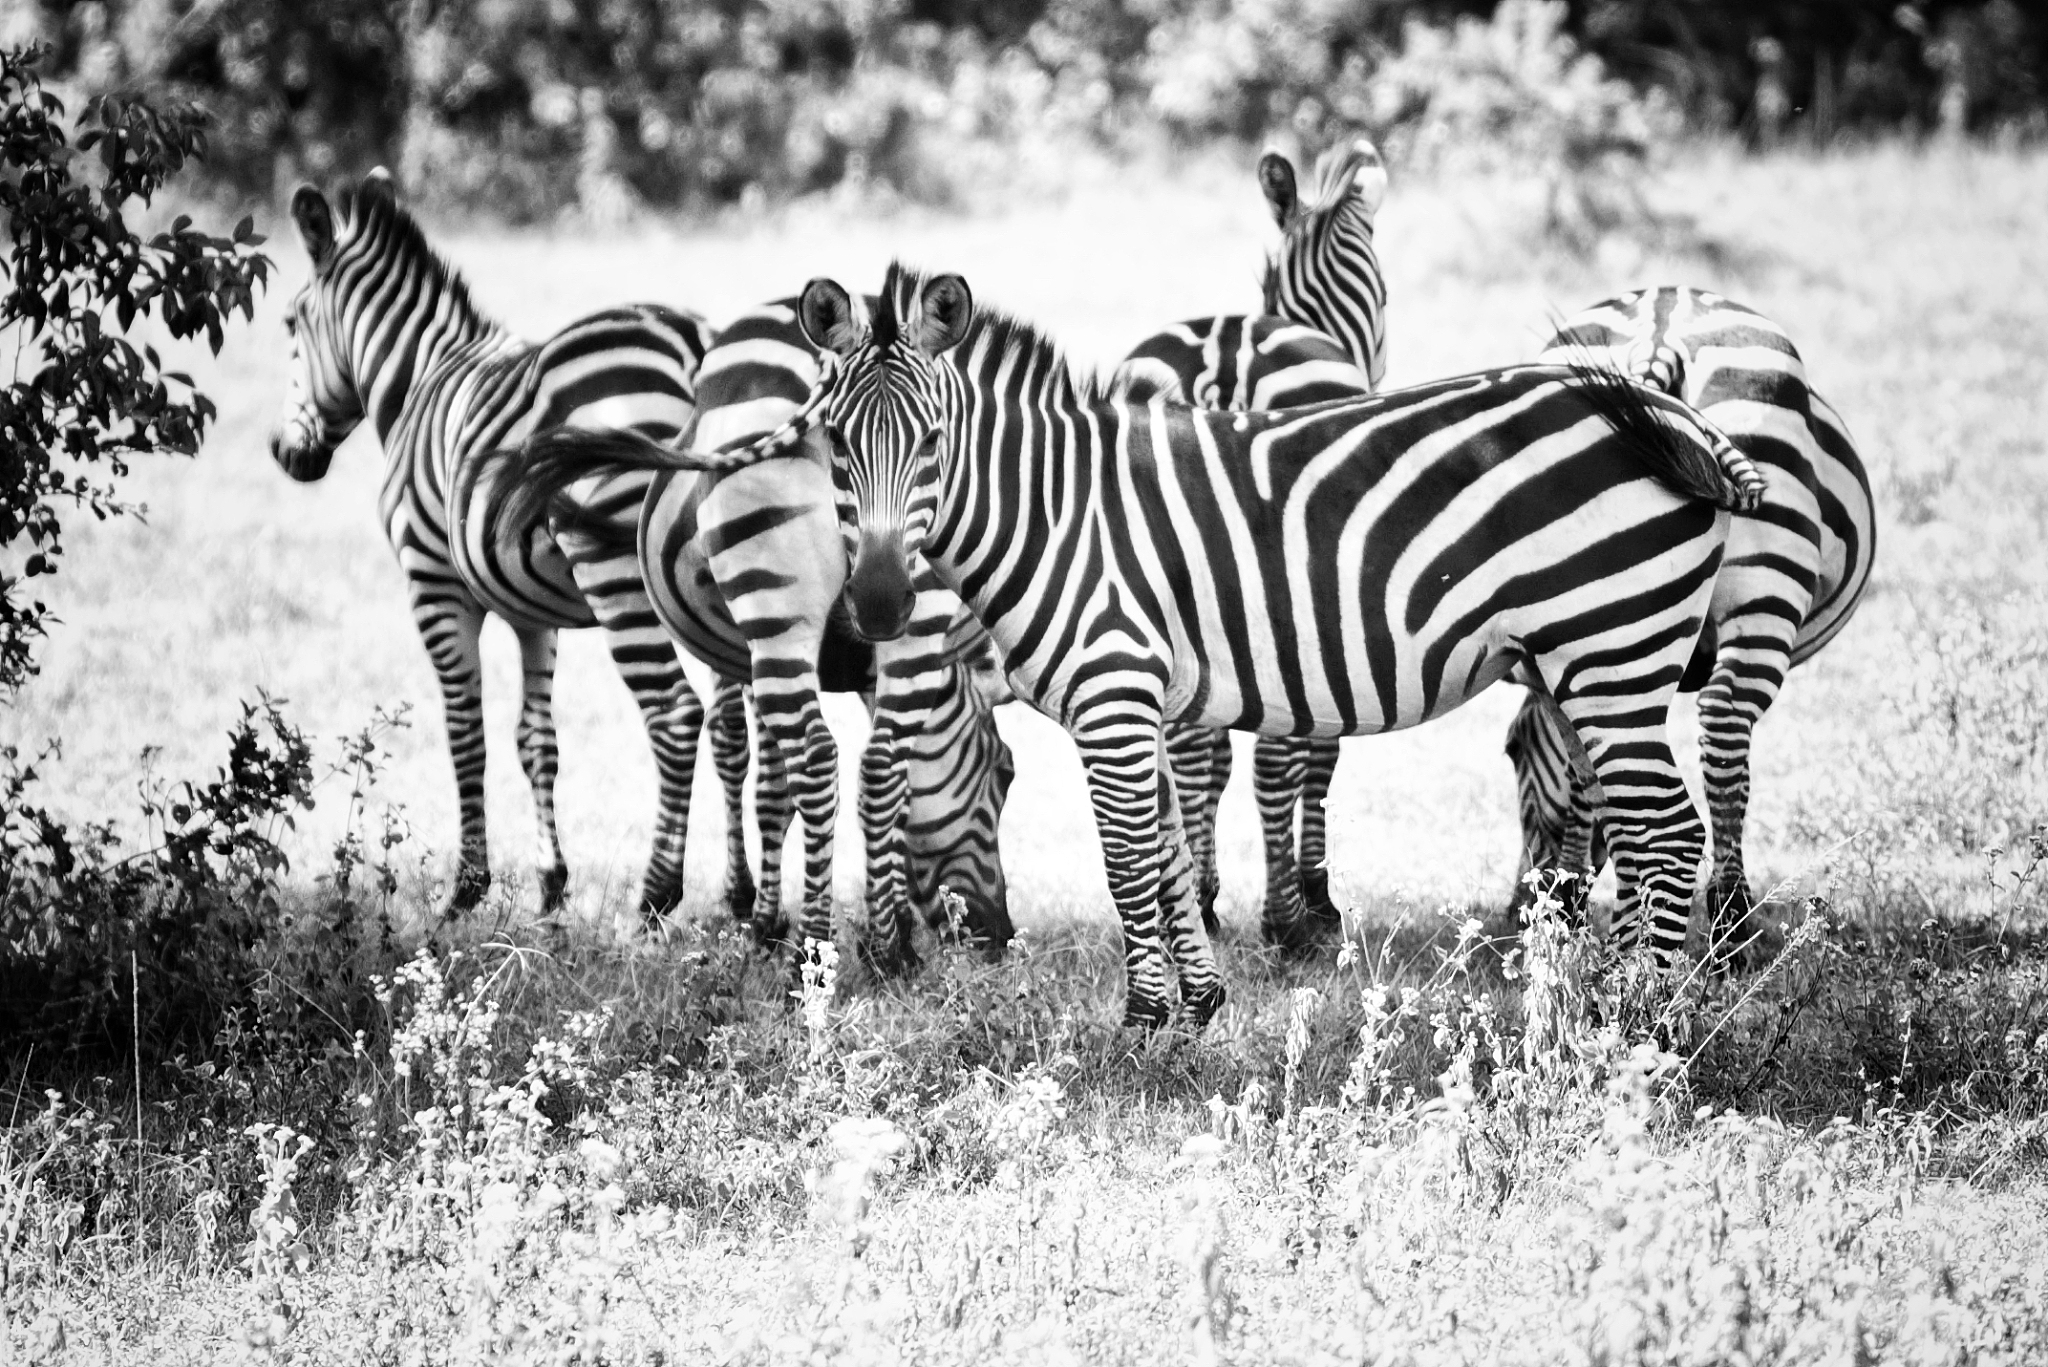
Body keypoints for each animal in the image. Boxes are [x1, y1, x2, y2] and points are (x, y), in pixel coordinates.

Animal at [268, 168, 721, 922]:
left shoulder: (435, 585)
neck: (417, 382)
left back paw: (654, 900)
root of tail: (691, 344)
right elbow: (536, 741)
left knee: (678, 713)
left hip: (618, 568)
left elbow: (465, 735)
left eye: (290, 324)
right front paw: (550, 888)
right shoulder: (531, 610)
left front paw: (466, 890)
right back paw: (751, 906)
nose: (284, 454)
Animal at [492, 296, 1017, 969]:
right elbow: (787, 787)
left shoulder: (750, 653)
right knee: (879, 761)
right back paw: (880, 949)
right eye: (1004, 774)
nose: (999, 936)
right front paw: (855, 923)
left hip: (762, 613)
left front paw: (765, 922)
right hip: (906, 596)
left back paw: (800, 942)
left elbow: (760, 775)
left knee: (805, 755)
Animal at [545, 262, 1765, 1027]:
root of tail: (1654, 403)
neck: (1053, 511)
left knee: (1667, 829)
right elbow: (1171, 847)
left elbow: (1130, 854)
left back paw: (1649, 1019)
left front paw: (1144, 1021)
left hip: (1608, 650)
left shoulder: (1112, 688)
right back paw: (1625, 1002)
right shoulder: (1156, 699)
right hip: (1596, 658)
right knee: (1652, 828)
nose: (880, 608)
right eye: (834, 447)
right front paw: (1200, 1002)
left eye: (934, 440)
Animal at [1114, 139, 1387, 948]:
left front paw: (1205, 889)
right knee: (1277, 752)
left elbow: (1213, 751)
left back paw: (1198, 903)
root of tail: (1222, 357)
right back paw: (1287, 920)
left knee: (1181, 746)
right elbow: (1319, 754)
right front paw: (1317, 893)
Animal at [1506, 287, 1876, 953]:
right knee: (1726, 727)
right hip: (1766, 577)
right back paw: (1731, 924)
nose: (1518, 911)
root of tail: (1661, 322)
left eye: (1512, 751)